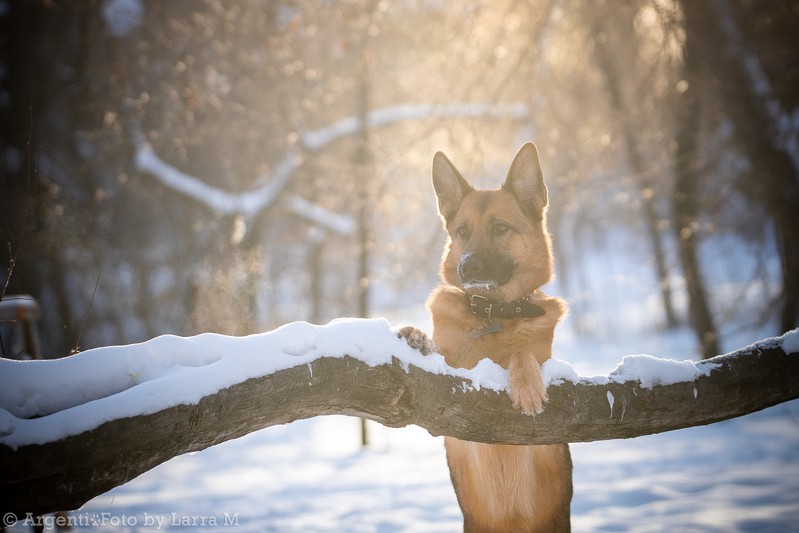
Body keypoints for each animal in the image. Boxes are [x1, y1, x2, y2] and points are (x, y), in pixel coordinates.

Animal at [404, 142, 572, 532]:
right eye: (462, 231)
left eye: (500, 228)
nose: (467, 266)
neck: (493, 313)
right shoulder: (451, 422)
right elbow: (440, 353)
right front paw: (418, 337)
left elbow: (524, 354)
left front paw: (527, 385)